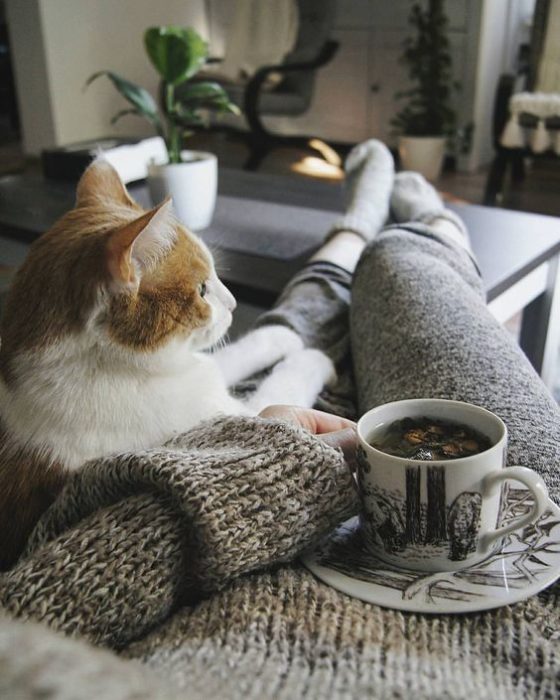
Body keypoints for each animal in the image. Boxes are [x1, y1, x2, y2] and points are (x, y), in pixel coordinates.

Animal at [0, 159, 334, 568]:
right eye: (202, 290)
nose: (234, 303)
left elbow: (232, 354)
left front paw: (281, 336)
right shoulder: (236, 413)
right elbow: (286, 382)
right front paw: (312, 355)